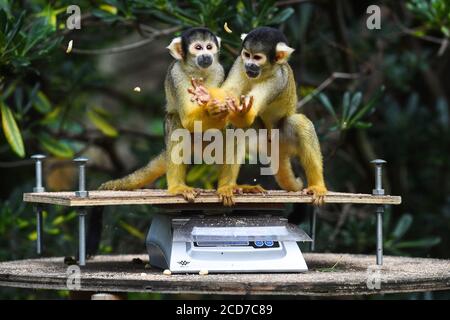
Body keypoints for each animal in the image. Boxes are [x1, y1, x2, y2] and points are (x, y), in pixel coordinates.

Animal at [193, 26, 326, 204]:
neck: (263, 72)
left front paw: (242, 111)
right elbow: (229, 92)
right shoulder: (239, 64)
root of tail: (274, 146)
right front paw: (208, 99)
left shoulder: (277, 79)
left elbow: (251, 111)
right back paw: (228, 187)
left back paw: (318, 186)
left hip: (282, 137)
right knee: (239, 131)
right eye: (247, 55)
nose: (250, 64)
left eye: (257, 57)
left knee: (299, 122)